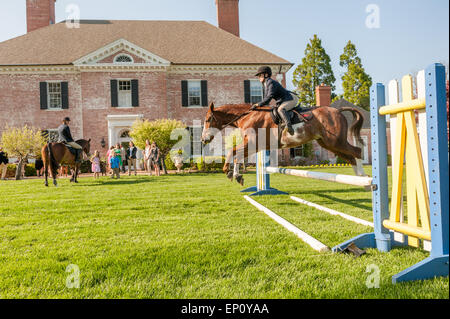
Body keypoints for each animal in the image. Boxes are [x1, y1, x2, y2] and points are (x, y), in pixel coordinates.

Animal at [202, 102, 368, 188]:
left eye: (208, 119)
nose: (203, 140)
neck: (248, 116)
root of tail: (338, 110)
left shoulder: (253, 143)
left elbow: (233, 152)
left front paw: (231, 172)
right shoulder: (255, 146)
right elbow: (236, 154)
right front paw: (234, 174)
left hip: (336, 141)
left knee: (357, 151)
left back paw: (365, 179)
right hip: (329, 144)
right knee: (351, 157)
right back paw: (359, 177)